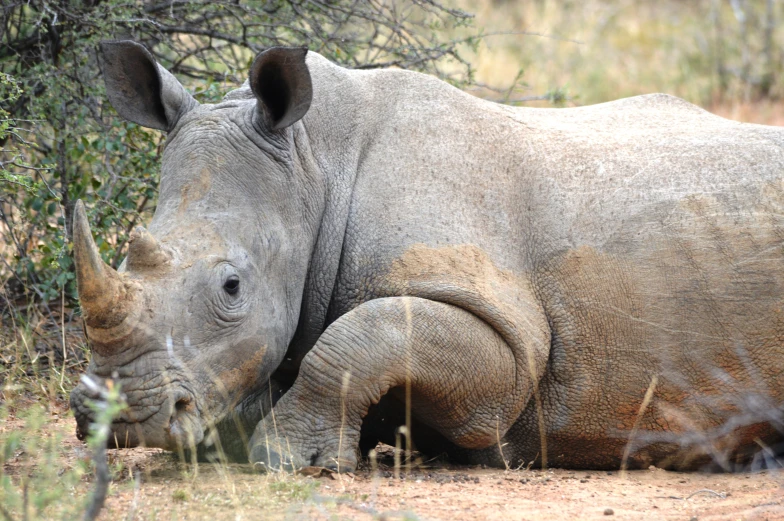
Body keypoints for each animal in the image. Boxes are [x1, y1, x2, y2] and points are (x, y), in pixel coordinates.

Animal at [69, 40, 784, 472]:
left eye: (231, 287)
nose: (118, 418)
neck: (313, 165)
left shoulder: (506, 338)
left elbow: (359, 338)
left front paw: (289, 460)